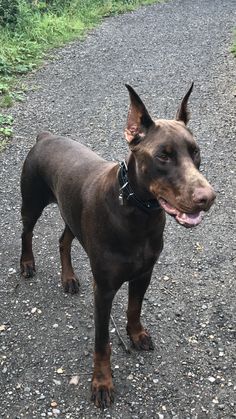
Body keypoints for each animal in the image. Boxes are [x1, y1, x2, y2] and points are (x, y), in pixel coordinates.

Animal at [19, 83, 216, 408]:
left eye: (195, 151)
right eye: (163, 156)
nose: (208, 197)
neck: (138, 212)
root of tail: (45, 136)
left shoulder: (144, 273)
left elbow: (134, 308)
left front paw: (136, 334)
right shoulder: (104, 289)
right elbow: (102, 342)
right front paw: (102, 383)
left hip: (72, 214)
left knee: (63, 240)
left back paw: (68, 278)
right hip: (32, 201)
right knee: (26, 232)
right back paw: (26, 263)